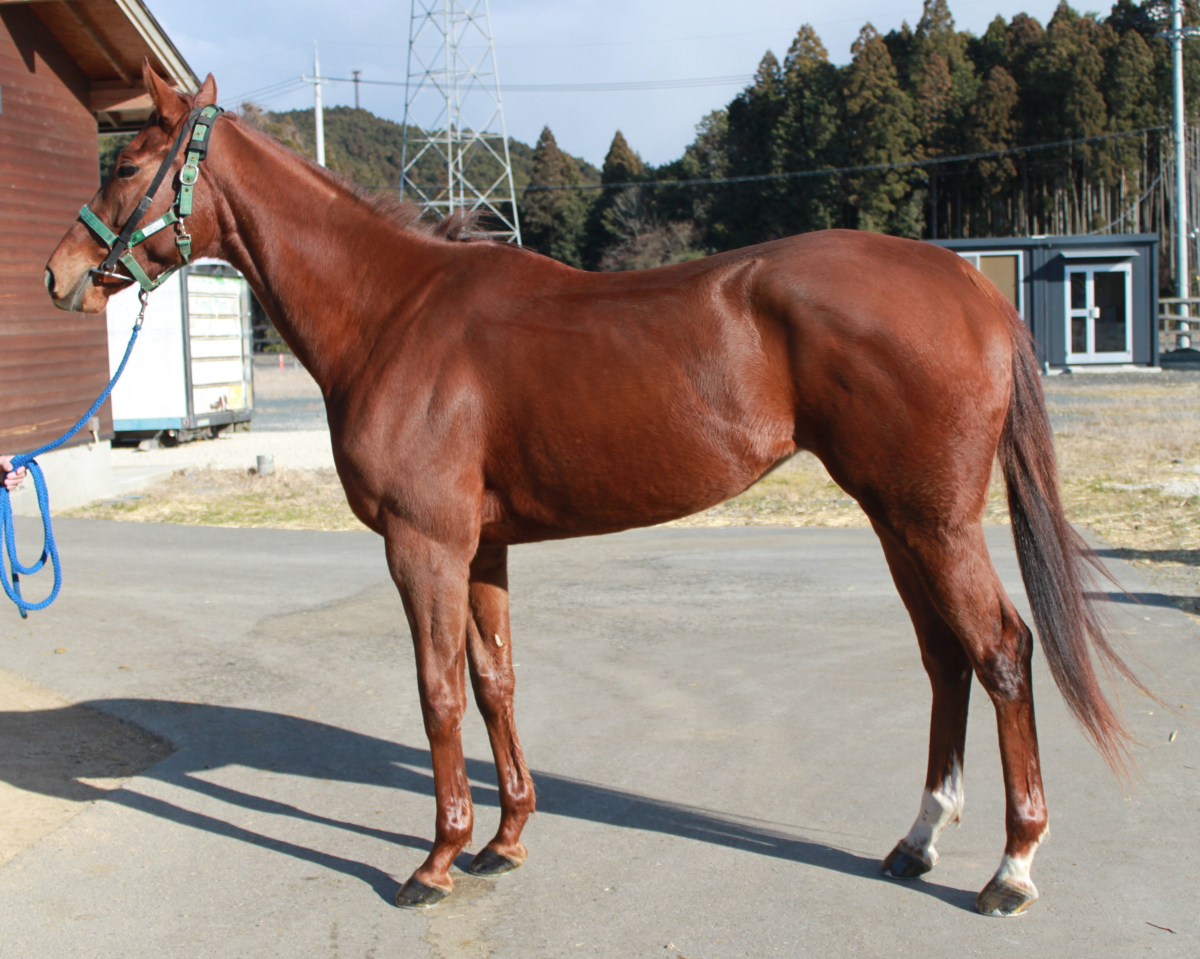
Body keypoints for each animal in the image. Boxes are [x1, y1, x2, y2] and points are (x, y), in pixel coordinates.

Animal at [45, 65, 1142, 916]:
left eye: (129, 165)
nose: (59, 274)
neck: (395, 313)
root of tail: (971, 290)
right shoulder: (481, 547)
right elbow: (495, 683)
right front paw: (505, 838)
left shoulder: (423, 545)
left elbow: (438, 692)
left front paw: (436, 859)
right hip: (896, 517)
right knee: (945, 657)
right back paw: (916, 841)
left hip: (933, 518)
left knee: (1000, 650)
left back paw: (1011, 866)